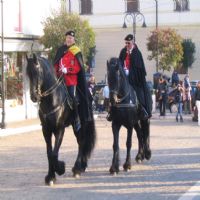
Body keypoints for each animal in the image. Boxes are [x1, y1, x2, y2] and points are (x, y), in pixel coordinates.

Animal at [25, 54, 96, 185]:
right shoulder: (46, 130)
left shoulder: (59, 129)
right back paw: (81, 166)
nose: (34, 96)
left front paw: (60, 168)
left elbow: (54, 154)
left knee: (81, 142)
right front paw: (50, 176)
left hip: (80, 125)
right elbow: (49, 153)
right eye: (28, 74)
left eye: (38, 72)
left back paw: (77, 168)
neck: (52, 99)